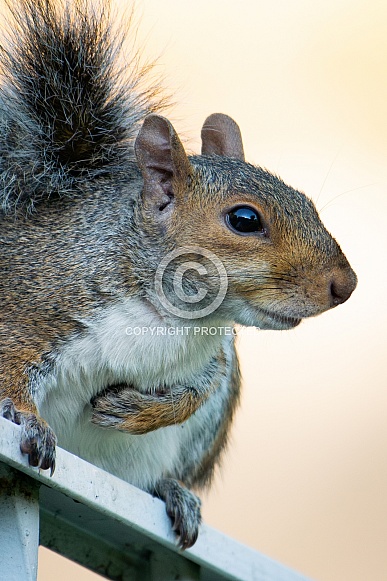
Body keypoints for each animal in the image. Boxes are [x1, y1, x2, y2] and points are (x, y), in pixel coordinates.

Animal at [0, 0, 358, 548]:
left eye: (307, 203)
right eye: (245, 219)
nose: (346, 284)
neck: (170, 316)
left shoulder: (215, 357)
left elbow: (196, 391)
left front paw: (139, 411)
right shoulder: (32, 304)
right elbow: (11, 368)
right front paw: (27, 420)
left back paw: (174, 492)